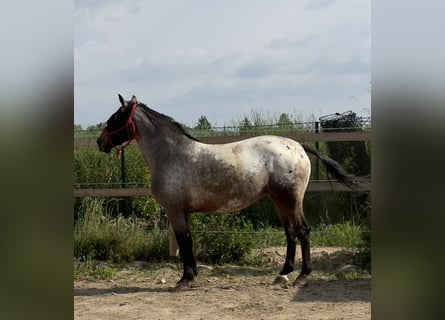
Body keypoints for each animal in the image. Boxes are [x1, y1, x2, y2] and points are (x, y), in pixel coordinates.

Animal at [97, 94, 358, 288]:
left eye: (114, 118)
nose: (100, 142)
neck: (170, 154)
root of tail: (297, 146)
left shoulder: (175, 210)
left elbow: (184, 240)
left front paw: (185, 279)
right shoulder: (183, 212)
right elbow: (188, 240)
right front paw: (192, 275)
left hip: (291, 200)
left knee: (302, 231)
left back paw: (302, 276)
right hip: (279, 201)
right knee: (290, 232)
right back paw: (283, 273)